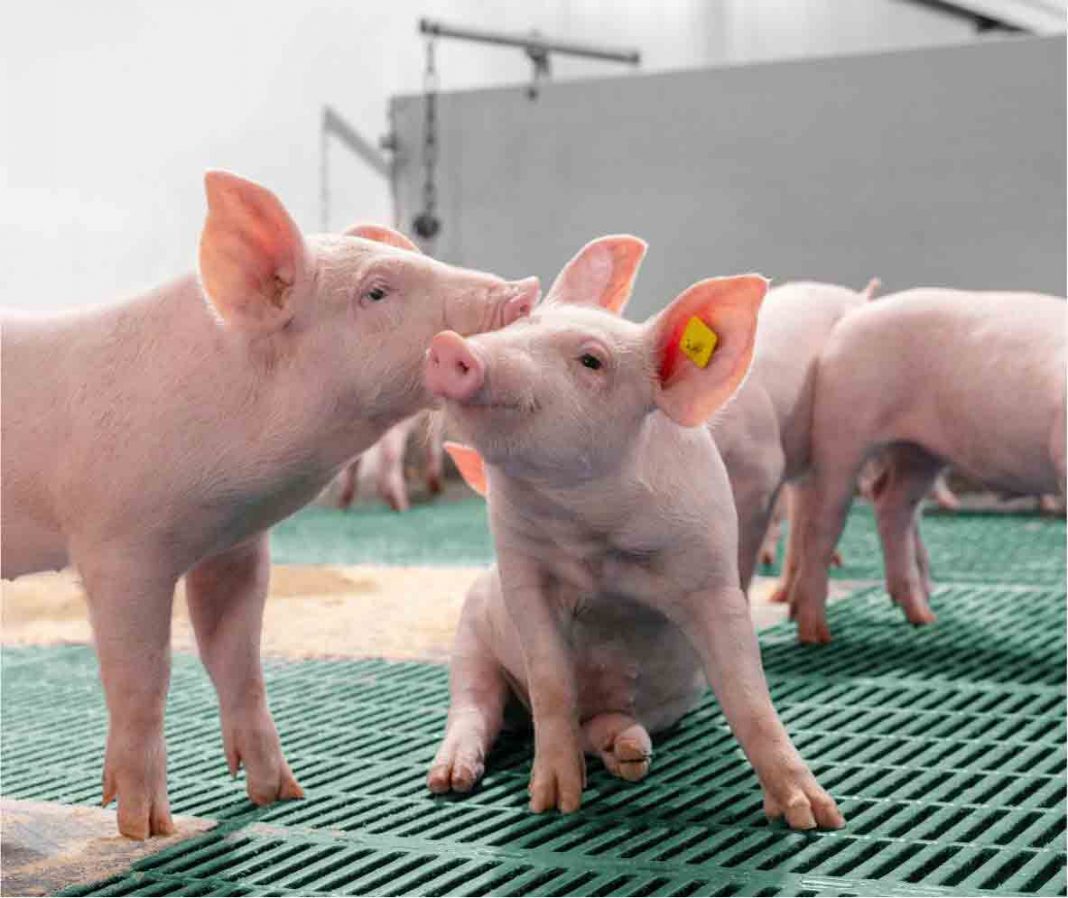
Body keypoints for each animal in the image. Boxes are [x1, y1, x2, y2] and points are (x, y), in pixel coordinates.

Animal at [0, 171, 537, 839]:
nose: (525, 291)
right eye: (376, 292)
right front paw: (147, 829)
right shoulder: (118, 546)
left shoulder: (235, 543)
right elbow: (143, 675)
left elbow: (238, 658)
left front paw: (280, 796)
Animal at [422, 237, 843, 830]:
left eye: (591, 360)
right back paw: (448, 780)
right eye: (522, 322)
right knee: (475, 704)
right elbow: (551, 681)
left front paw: (815, 817)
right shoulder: (521, 572)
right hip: (469, 635)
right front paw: (553, 803)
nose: (449, 345)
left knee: (600, 723)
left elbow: (748, 695)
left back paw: (629, 752)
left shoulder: (712, 571)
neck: (596, 536)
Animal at [775, 288, 1066, 643]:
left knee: (892, 506)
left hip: (919, 454)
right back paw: (815, 635)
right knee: (822, 525)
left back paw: (922, 618)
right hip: (842, 432)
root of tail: (851, 318)